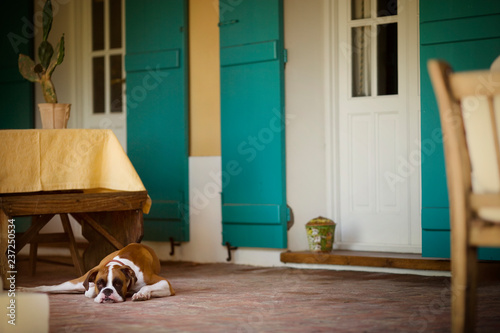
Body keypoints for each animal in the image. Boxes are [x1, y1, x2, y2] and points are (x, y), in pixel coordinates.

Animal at [22, 243, 177, 302]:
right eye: (100, 283)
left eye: (118, 283)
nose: (107, 291)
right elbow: (90, 291)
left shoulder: (165, 284)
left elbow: (146, 287)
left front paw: (141, 294)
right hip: (75, 283)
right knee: (49, 287)